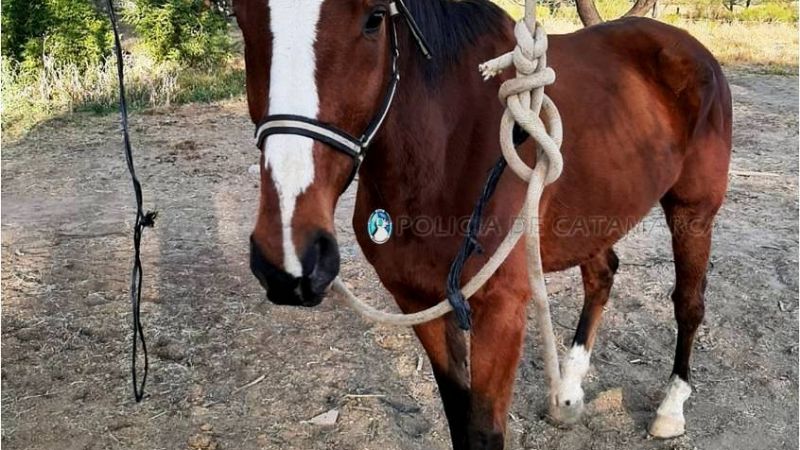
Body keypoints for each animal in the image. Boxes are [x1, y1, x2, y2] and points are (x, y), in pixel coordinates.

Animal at [233, 0, 732, 448]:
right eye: (241, 17)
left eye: (374, 18)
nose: (291, 255)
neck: (446, 149)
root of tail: (687, 46)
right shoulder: (418, 301)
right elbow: (459, 418)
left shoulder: (501, 309)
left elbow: (485, 430)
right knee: (601, 275)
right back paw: (568, 394)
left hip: (693, 212)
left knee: (688, 304)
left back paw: (670, 408)